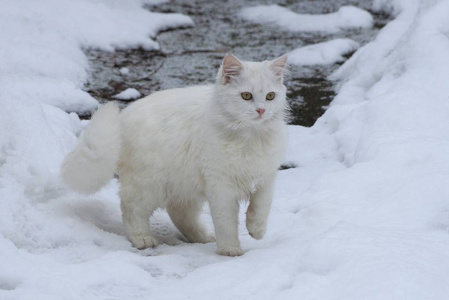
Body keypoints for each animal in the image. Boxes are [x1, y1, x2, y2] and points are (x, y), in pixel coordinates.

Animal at [60, 54, 288, 255]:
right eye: (246, 96)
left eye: (270, 96)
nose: (261, 111)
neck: (250, 137)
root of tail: (122, 118)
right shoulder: (221, 186)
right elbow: (227, 223)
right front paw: (229, 249)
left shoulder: (266, 177)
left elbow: (261, 208)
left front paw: (256, 231)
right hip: (149, 185)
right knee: (131, 209)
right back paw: (143, 239)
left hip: (185, 185)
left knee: (179, 214)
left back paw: (203, 237)